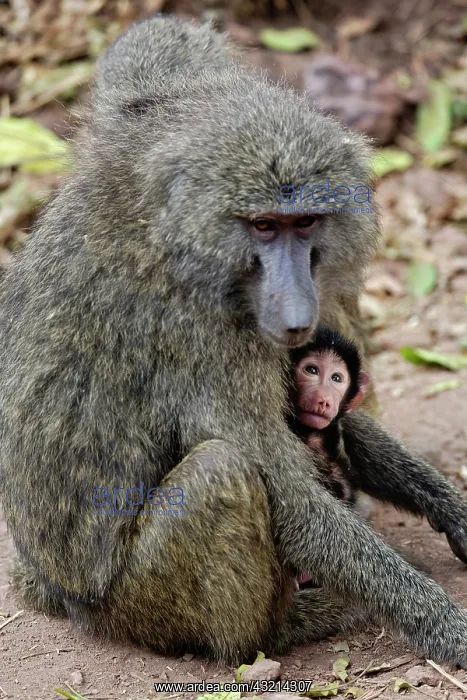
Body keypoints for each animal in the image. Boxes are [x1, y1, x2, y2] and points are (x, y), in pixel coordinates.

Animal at [0, 15, 467, 668]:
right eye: (263, 226)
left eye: (306, 222)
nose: (296, 315)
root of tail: (62, 594)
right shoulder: (204, 337)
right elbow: (287, 492)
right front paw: (446, 626)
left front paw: (451, 508)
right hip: (138, 602)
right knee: (220, 470)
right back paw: (281, 631)